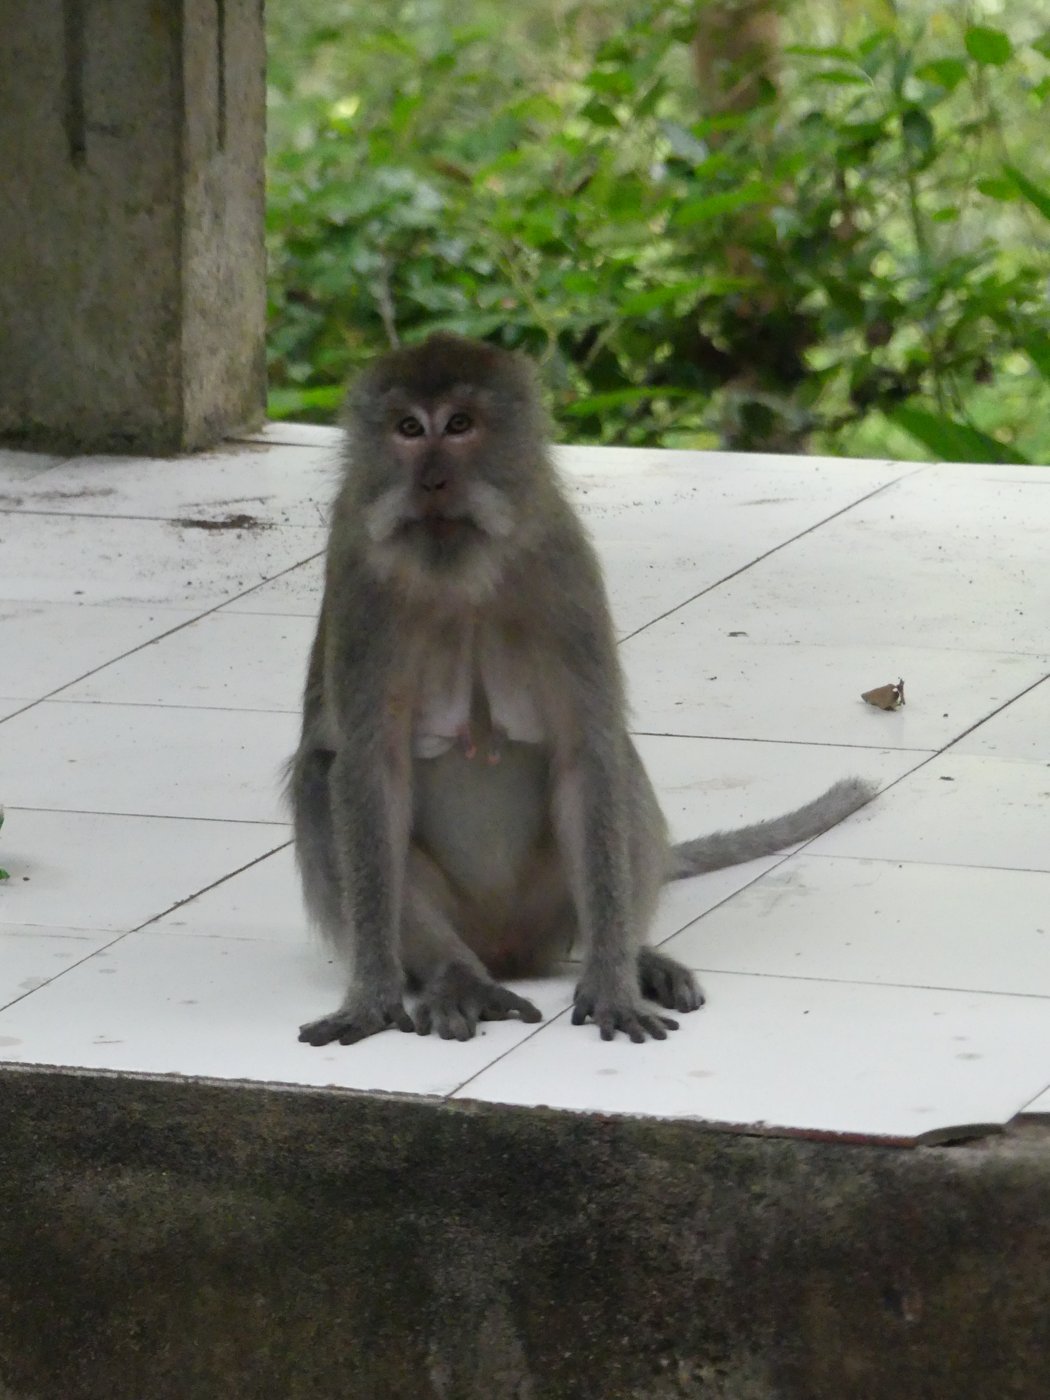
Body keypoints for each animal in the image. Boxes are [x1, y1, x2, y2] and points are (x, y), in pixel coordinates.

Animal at [289, 333, 877, 1046]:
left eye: (459, 425)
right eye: (407, 429)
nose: (431, 481)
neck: (462, 576)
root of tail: (510, 950)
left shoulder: (563, 563)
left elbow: (588, 753)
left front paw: (613, 984)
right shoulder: (360, 580)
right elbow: (369, 770)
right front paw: (374, 993)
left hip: (551, 906)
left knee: (618, 764)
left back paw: (630, 955)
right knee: (319, 777)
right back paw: (455, 978)